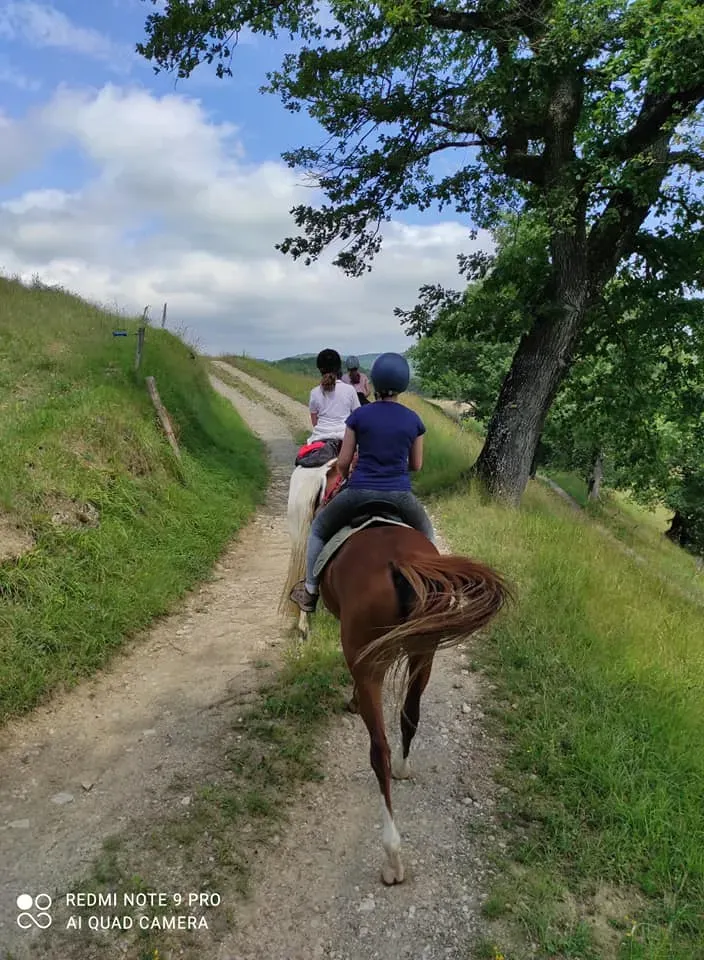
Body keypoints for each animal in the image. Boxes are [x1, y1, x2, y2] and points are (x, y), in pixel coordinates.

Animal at [281, 471, 511, 886]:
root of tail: (401, 565)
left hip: (371, 659)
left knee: (379, 750)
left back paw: (392, 856)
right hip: (424, 653)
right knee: (410, 714)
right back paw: (404, 768)